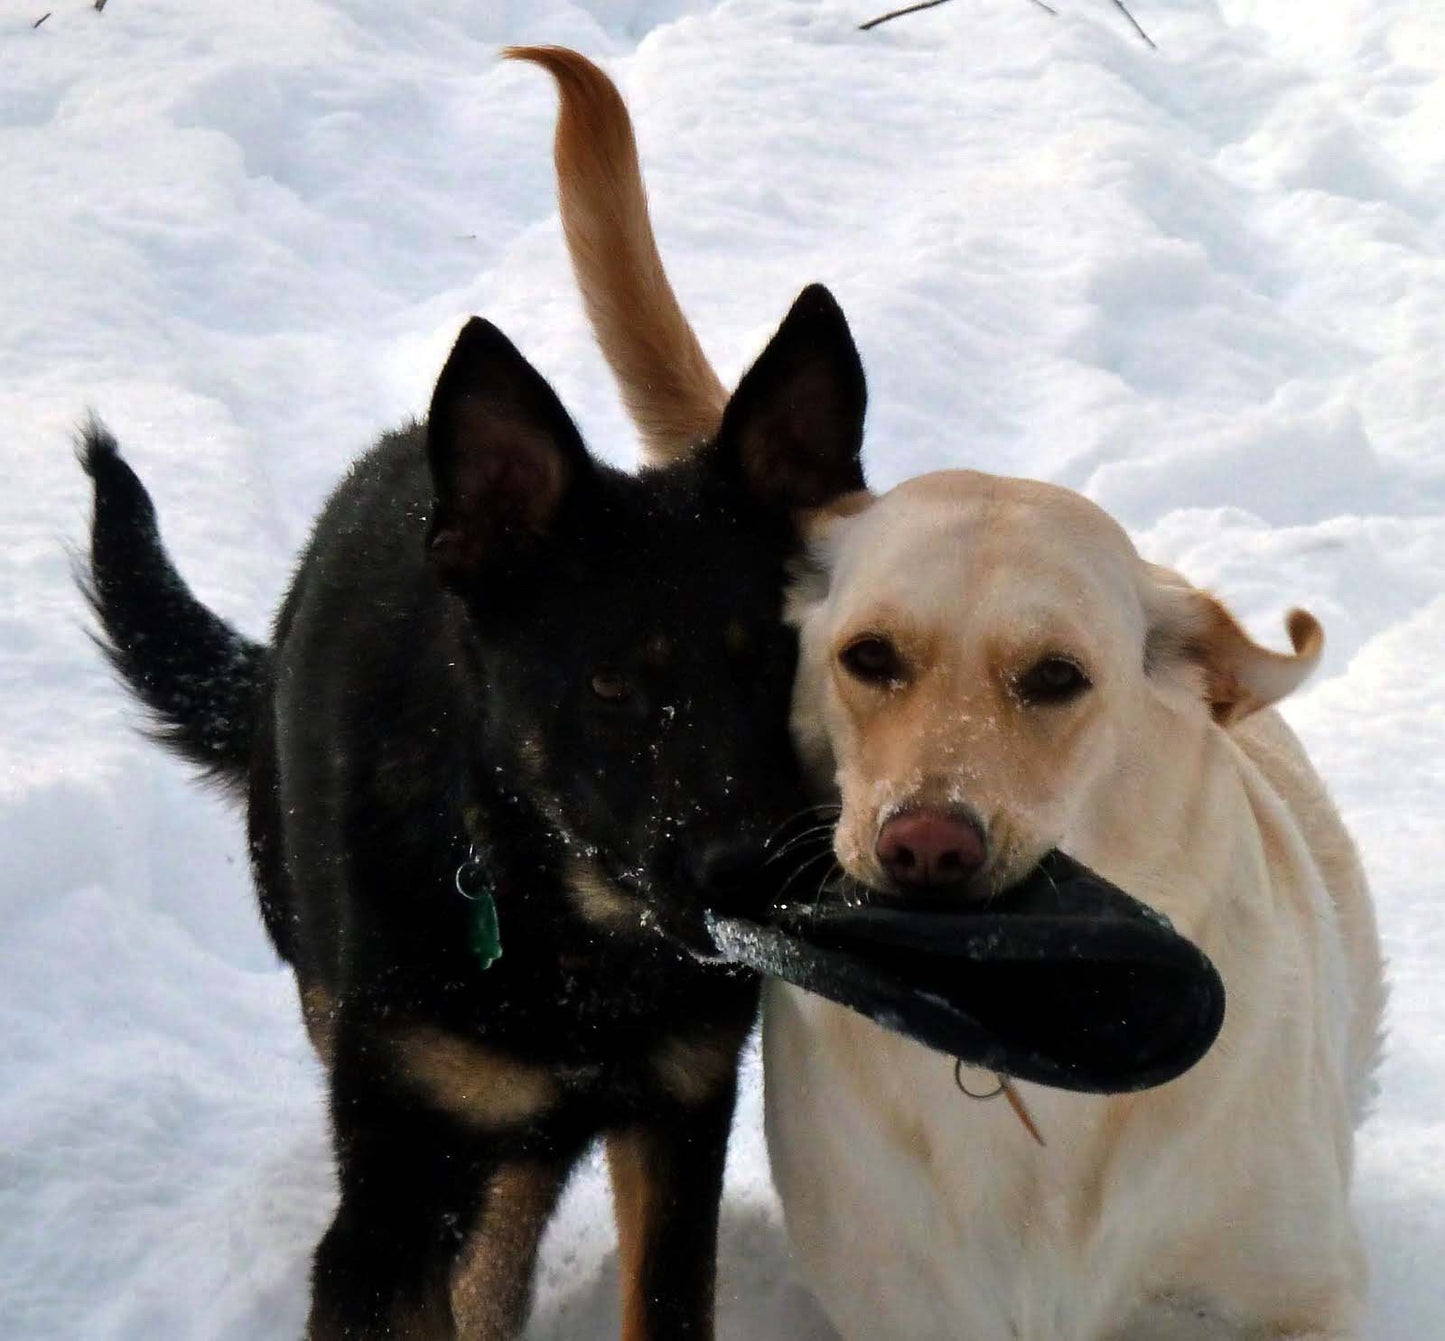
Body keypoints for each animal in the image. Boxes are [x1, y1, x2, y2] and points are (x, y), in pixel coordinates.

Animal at [84, 287, 861, 1335]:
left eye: (779, 660)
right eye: (609, 683)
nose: (749, 870)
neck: (568, 936)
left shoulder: (679, 1118)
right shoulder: (387, 1212)